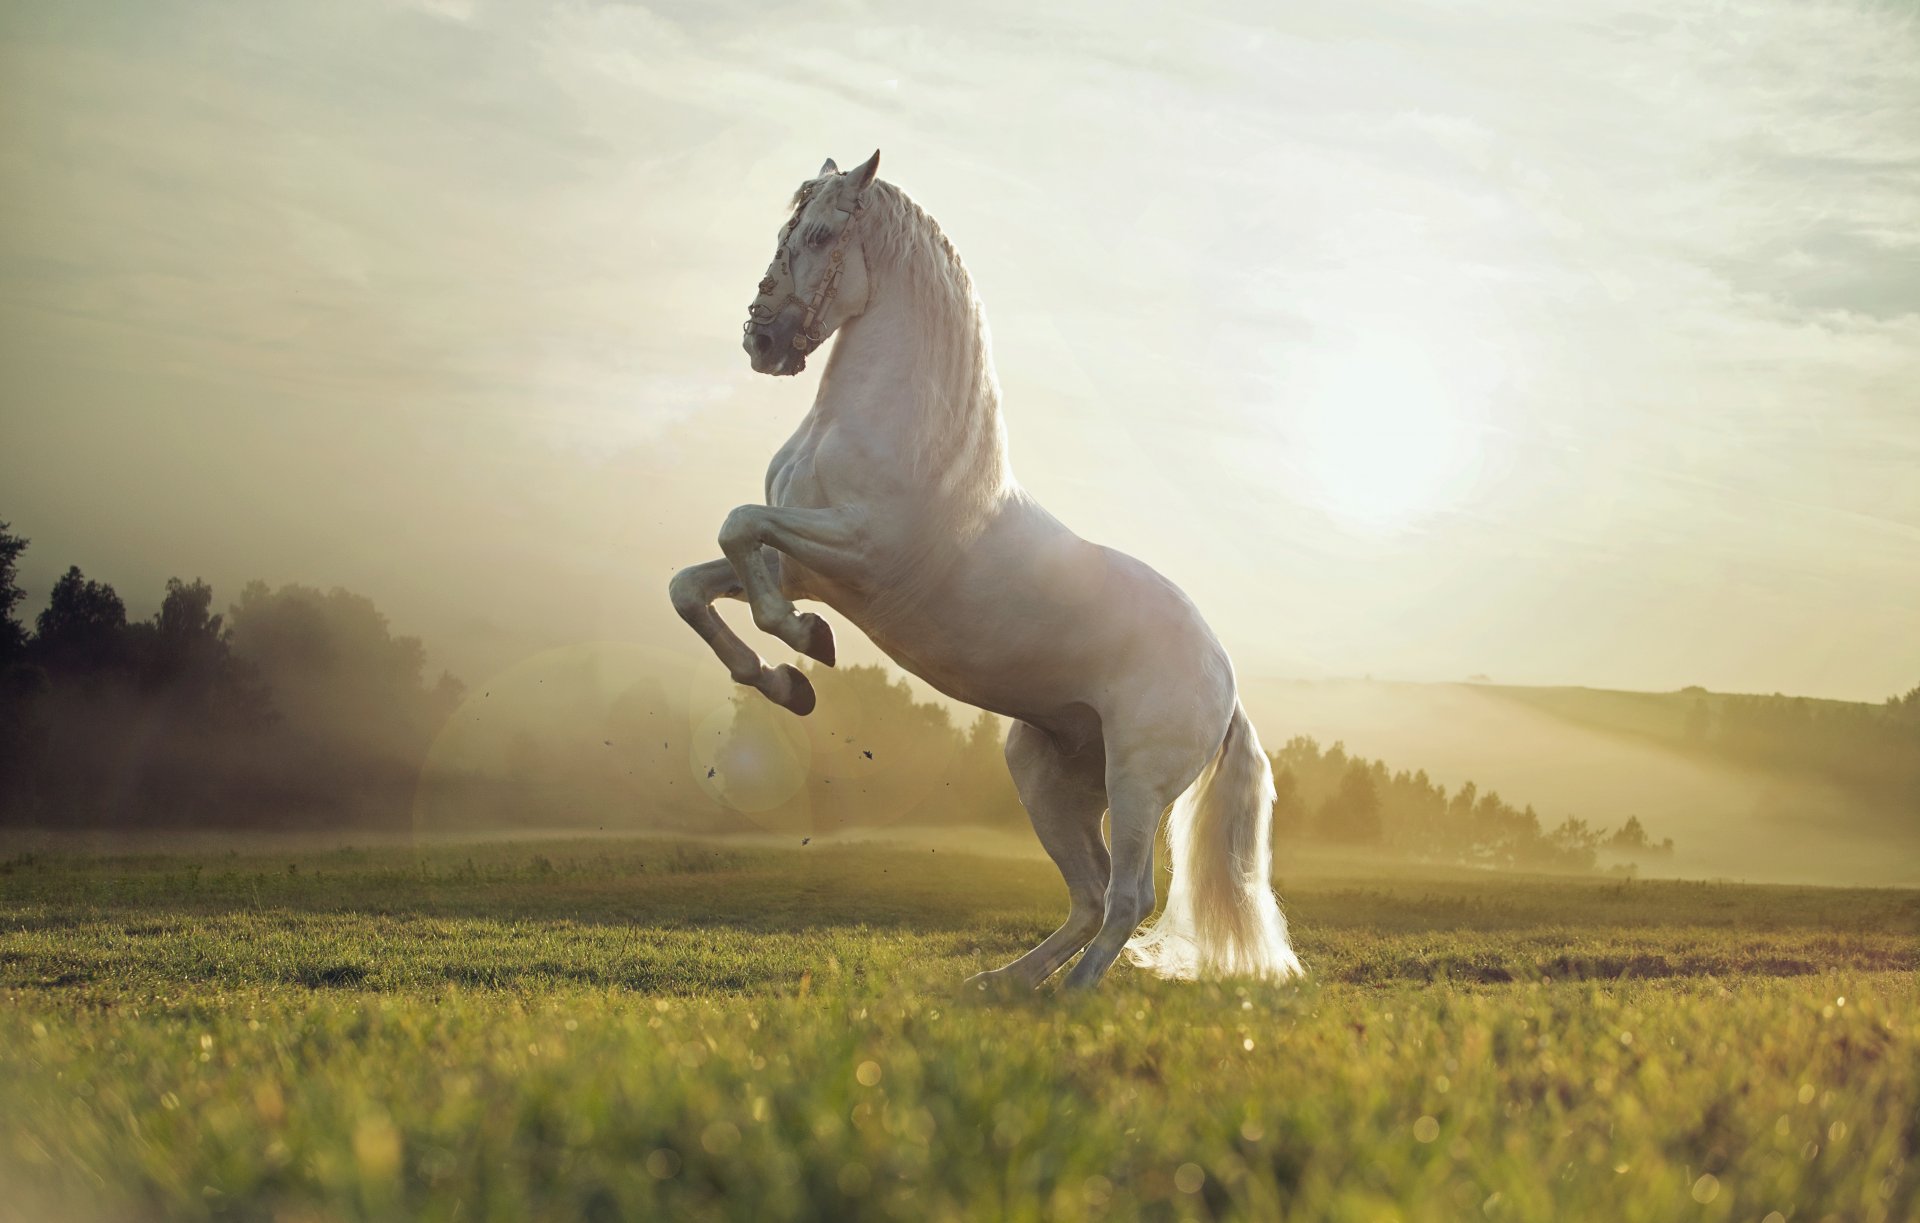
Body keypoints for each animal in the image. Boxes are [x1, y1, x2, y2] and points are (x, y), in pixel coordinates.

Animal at [669, 151, 1302, 990]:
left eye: (823, 234)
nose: (762, 340)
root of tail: (1224, 679)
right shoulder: (803, 564)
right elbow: (695, 583)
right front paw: (785, 680)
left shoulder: (855, 552)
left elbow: (739, 528)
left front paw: (805, 646)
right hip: (1045, 774)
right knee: (1090, 894)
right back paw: (1002, 984)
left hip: (1136, 782)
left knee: (1129, 895)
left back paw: (1070, 996)